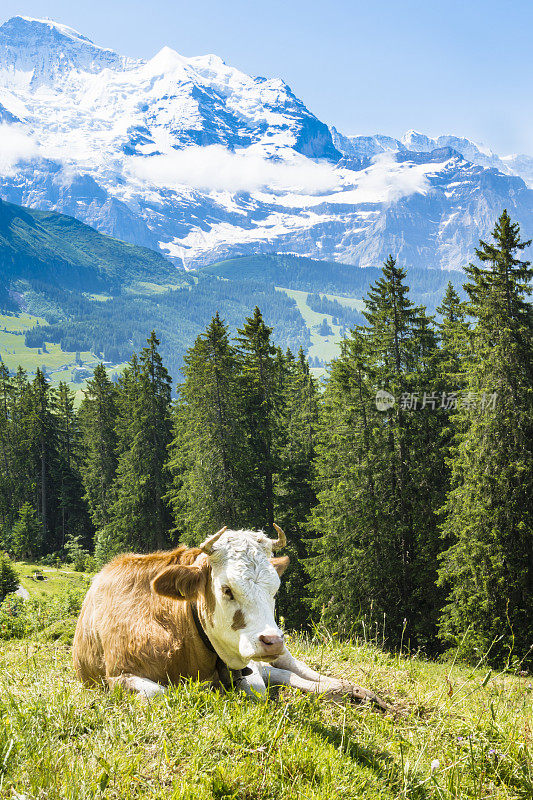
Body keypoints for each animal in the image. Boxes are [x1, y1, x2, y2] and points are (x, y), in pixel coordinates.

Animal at [72, 524, 384, 708]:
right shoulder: (116, 676)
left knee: (294, 669)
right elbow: (158, 693)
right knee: (278, 672)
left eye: (275, 590)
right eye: (227, 589)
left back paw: (350, 689)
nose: (272, 640)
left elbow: (259, 687)